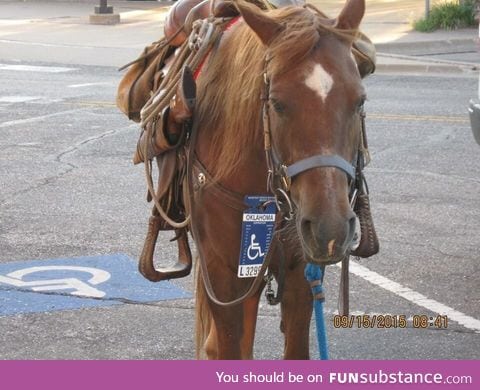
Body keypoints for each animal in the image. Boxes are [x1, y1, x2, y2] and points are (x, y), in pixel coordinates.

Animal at [186, 0, 366, 360]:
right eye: (278, 104)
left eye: (359, 101)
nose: (330, 229)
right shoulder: (222, 271)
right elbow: (228, 348)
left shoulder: (301, 269)